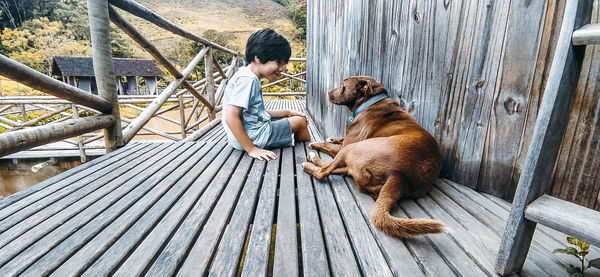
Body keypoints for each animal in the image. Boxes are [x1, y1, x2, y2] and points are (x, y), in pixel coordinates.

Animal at [302, 75, 442, 237]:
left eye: (343, 86)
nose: (328, 92)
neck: (370, 101)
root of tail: (399, 177)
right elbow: (337, 139)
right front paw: (332, 138)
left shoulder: (344, 146)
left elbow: (328, 145)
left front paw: (316, 143)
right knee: (338, 169)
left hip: (353, 148)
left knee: (323, 171)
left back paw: (310, 160)